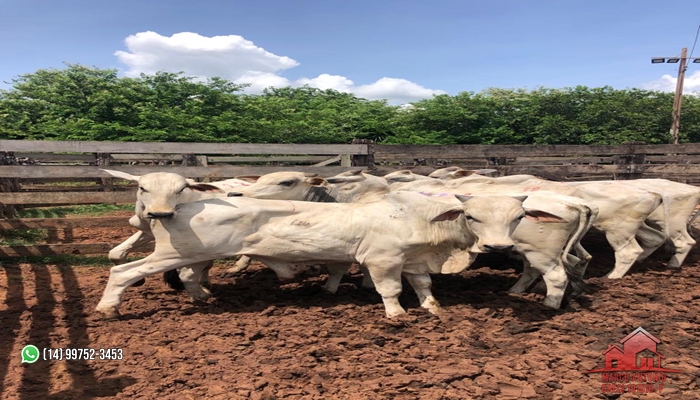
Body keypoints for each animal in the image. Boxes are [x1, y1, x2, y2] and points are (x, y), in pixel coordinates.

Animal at [95, 191, 556, 318]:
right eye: (471, 215)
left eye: (518, 217)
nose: (498, 248)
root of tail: (182, 204)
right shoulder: (383, 261)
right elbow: (390, 290)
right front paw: (397, 315)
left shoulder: (412, 262)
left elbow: (423, 285)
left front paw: (432, 307)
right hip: (169, 255)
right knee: (124, 272)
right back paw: (108, 308)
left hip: (192, 257)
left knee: (192, 278)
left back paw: (206, 299)